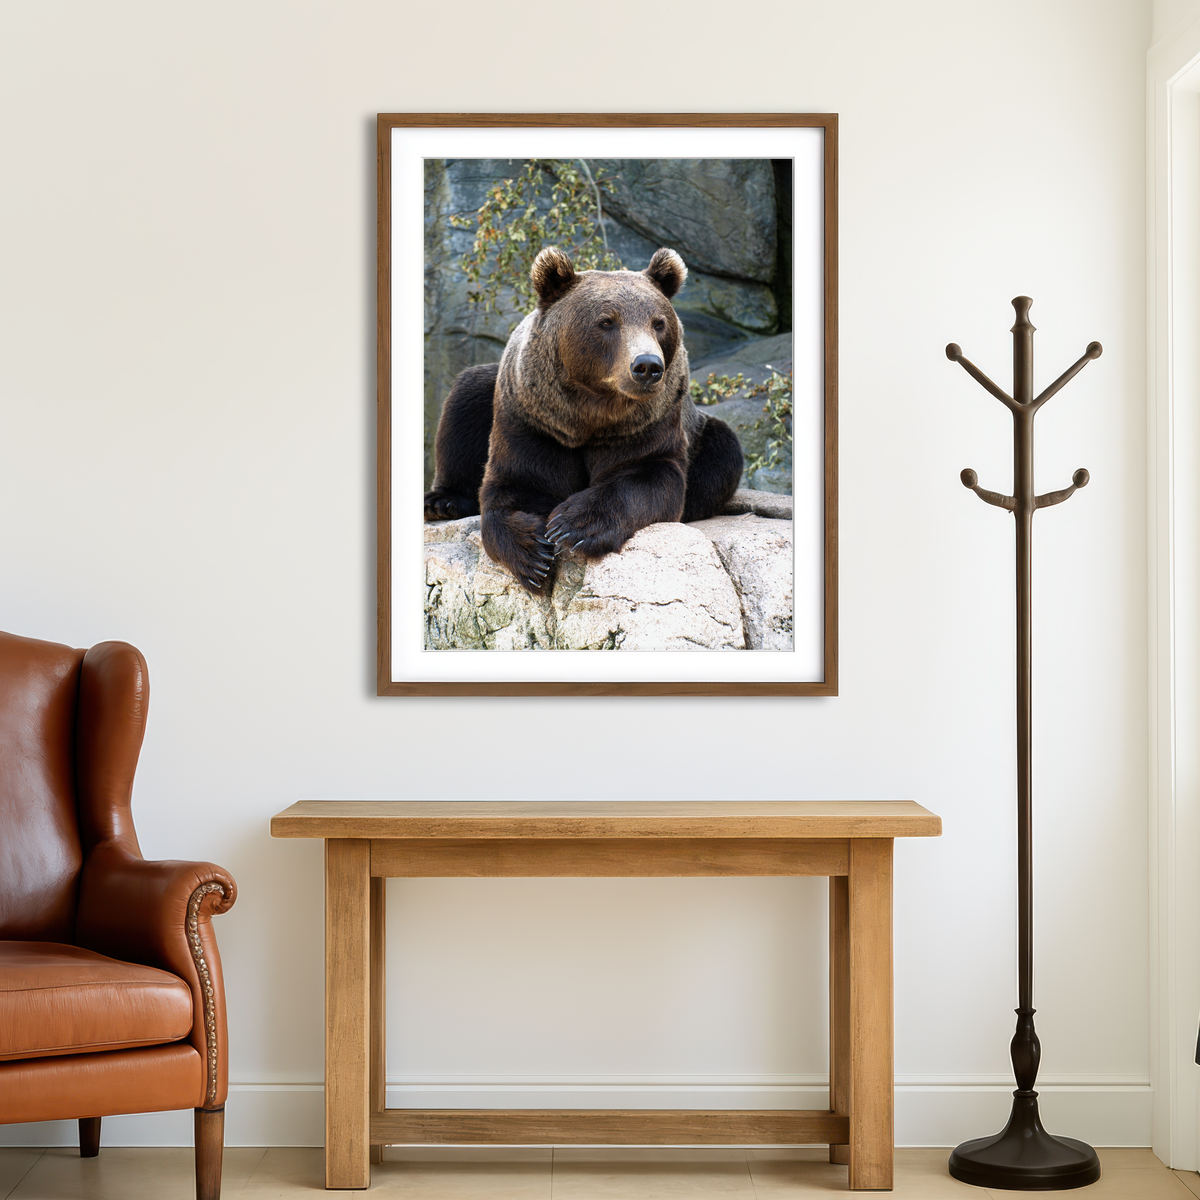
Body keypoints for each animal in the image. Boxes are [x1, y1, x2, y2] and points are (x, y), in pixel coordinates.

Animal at [423, 246, 745, 593]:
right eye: (606, 321)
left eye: (658, 323)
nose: (647, 366)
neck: (589, 415)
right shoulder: (532, 421)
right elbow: (516, 484)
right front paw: (532, 553)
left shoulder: (646, 425)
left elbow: (650, 477)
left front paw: (573, 525)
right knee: (466, 398)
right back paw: (442, 502)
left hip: (701, 433)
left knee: (722, 454)